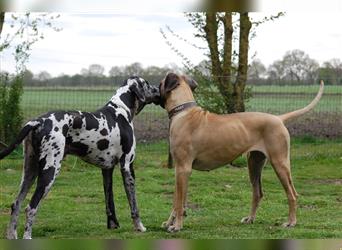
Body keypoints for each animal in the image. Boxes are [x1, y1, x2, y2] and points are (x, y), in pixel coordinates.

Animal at [0, 77, 160, 239]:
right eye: (147, 84)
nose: (158, 89)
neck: (121, 110)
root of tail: (39, 121)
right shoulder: (127, 166)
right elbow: (134, 204)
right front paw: (139, 227)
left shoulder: (107, 170)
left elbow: (110, 203)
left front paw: (113, 226)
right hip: (49, 172)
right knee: (30, 207)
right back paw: (27, 236)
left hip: (29, 172)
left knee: (16, 204)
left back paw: (12, 235)